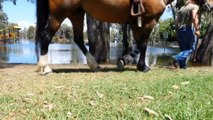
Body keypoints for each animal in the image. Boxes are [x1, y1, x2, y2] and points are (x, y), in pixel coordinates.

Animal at [35, 0, 190, 74]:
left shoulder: (136, 23)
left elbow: (140, 45)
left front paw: (127, 60)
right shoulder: (148, 22)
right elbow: (144, 45)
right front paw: (142, 67)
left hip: (76, 13)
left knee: (78, 39)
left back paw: (94, 65)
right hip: (59, 14)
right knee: (46, 35)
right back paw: (45, 67)